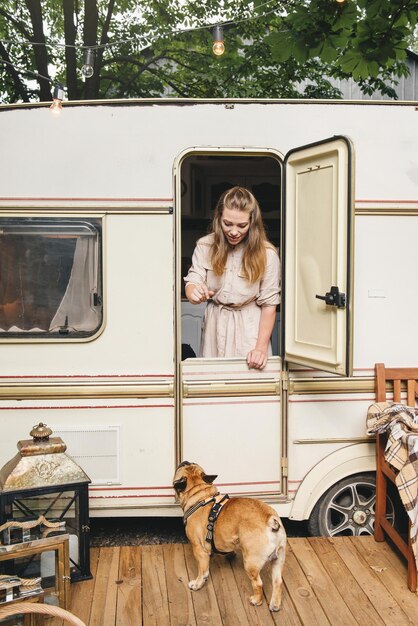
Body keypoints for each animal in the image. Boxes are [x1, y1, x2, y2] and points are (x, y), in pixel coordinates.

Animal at [171, 458, 286, 608]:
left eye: (181, 466)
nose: (185, 460)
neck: (200, 494)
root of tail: (271, 519)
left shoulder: (198, 549)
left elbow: (202, 570)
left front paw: (197, 583)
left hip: (251, 562)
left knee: (258, 583)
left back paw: (256, 600)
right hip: (279, 559)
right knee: (278, 582)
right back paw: (275, 604)